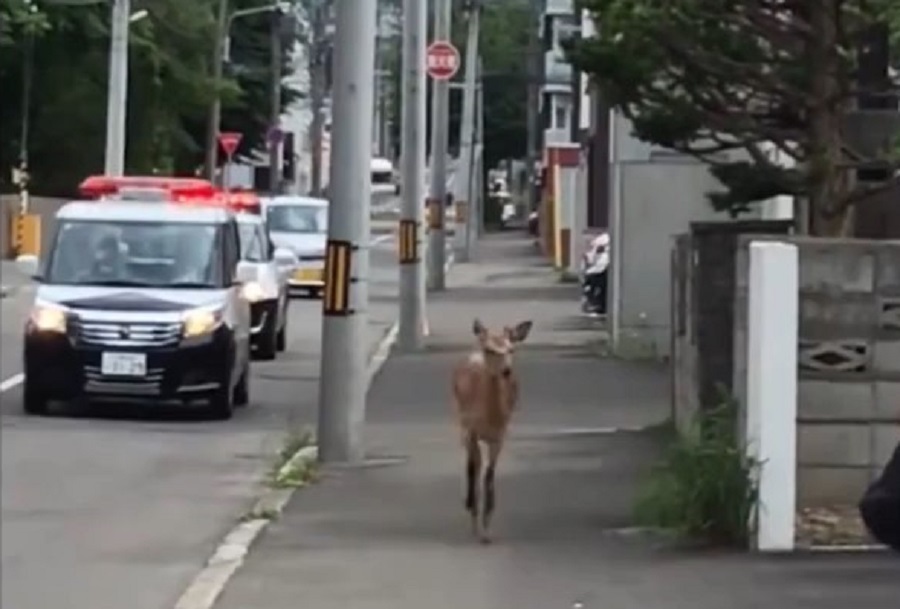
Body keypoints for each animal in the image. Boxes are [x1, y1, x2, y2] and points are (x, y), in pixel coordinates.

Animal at [454, 318, 532, 540]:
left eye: (511, 349)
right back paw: (469, 503)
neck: (490, 418)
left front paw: (487, 523)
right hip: (460, 420)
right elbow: (475, 468)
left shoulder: (500, 436)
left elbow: (490, 474)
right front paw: (476, 520)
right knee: (471, 465)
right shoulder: (471, 430)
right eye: (490, 349)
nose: (506, 371)